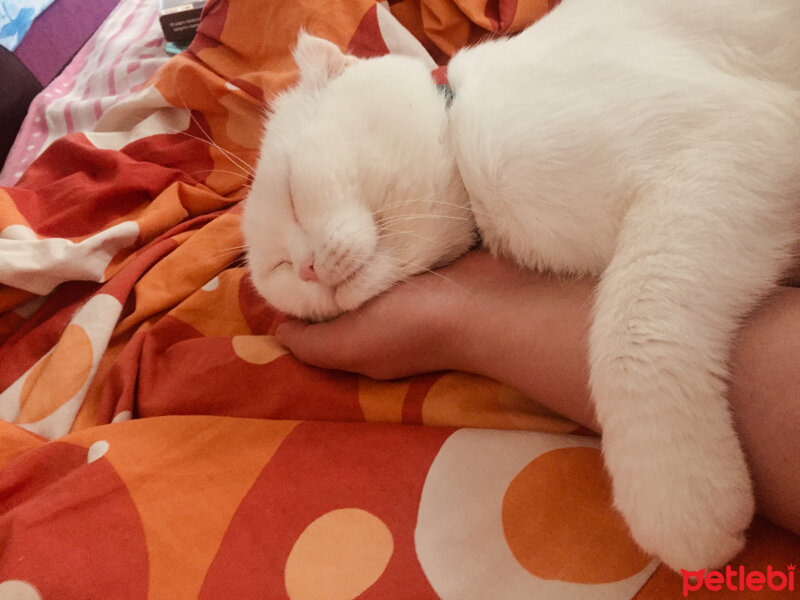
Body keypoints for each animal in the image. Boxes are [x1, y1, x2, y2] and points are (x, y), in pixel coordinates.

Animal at [244, 0, 800, 572]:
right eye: (278, 268)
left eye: (293, 194)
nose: (306, 269)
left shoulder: (737, 143)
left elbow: (632, 328)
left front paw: (676, 497)